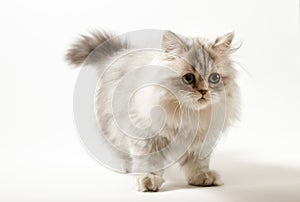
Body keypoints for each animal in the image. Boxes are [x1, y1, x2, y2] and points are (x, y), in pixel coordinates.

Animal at [66, 29, 241, 191]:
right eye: (188, 78)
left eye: (215, 78)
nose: (204, 91)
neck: (188, 114)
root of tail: (120, 53)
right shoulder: (145, 136)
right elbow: (149, 162)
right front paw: (148, 180)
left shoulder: (201, 141)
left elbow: (198, 163)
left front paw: (201, 177)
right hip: (112, 125)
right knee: (118, 149)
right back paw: (124, 166)